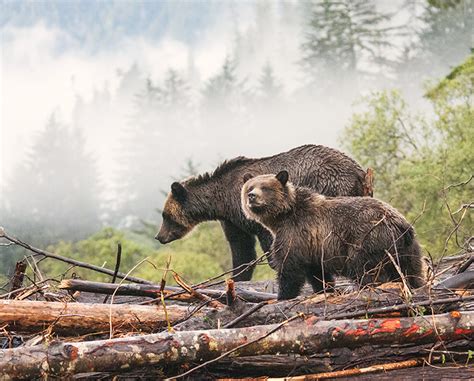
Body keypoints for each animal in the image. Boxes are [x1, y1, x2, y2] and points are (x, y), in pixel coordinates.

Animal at [156, 144, 370, 280]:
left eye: (165, 215)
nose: (159, 236)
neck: (222, 200)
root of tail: (359, 171)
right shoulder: (234, 220)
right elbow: (241, 250)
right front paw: (238, 278)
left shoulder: (253, 213)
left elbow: (268, 242)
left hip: (331, 186)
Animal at [243, 171, 424, 298]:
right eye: (249, 187)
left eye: (265, 187)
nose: (252, 197)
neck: (282, 216)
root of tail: (401, 224)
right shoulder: (313, 246)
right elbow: (317, 273)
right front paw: (325, 289)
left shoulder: (294, 233)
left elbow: (290, 268)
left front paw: (283, 295)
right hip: (408, 248)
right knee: (411, 271)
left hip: (367, 239)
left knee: (365, 268)